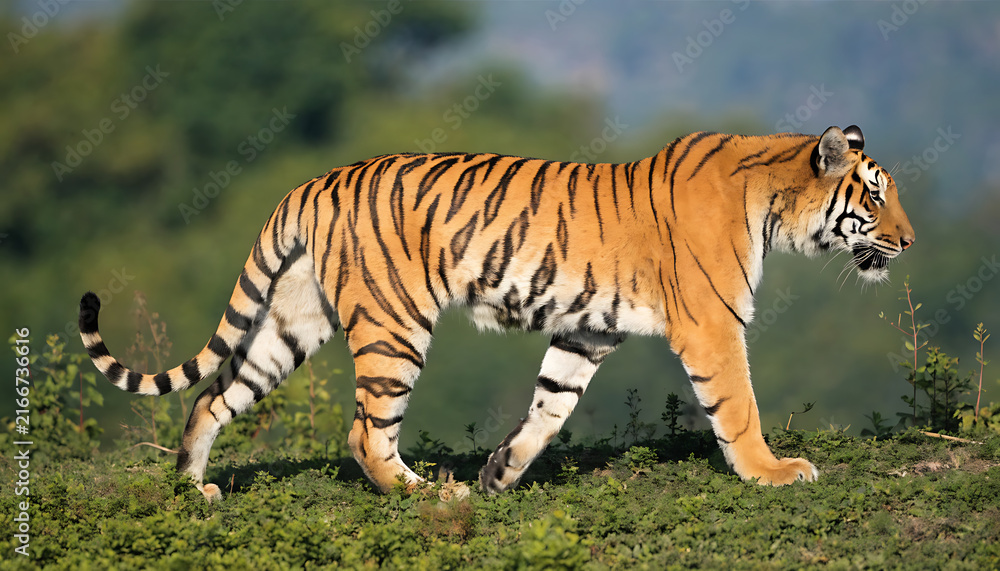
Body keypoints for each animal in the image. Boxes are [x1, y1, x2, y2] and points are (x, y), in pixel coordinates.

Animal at [79, 124, 914, 500]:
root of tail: (313, 182)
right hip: (394, 327)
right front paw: (774, 472)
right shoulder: (712, 325)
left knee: (213, 395)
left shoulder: (586, 328)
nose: (909, 240)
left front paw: (501, 471)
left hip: (294, 320)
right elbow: (738, 406)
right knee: (364, 431)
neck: (773, 198)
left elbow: (548, 407)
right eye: (875, 197)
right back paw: (423, 492)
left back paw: (193, 486)